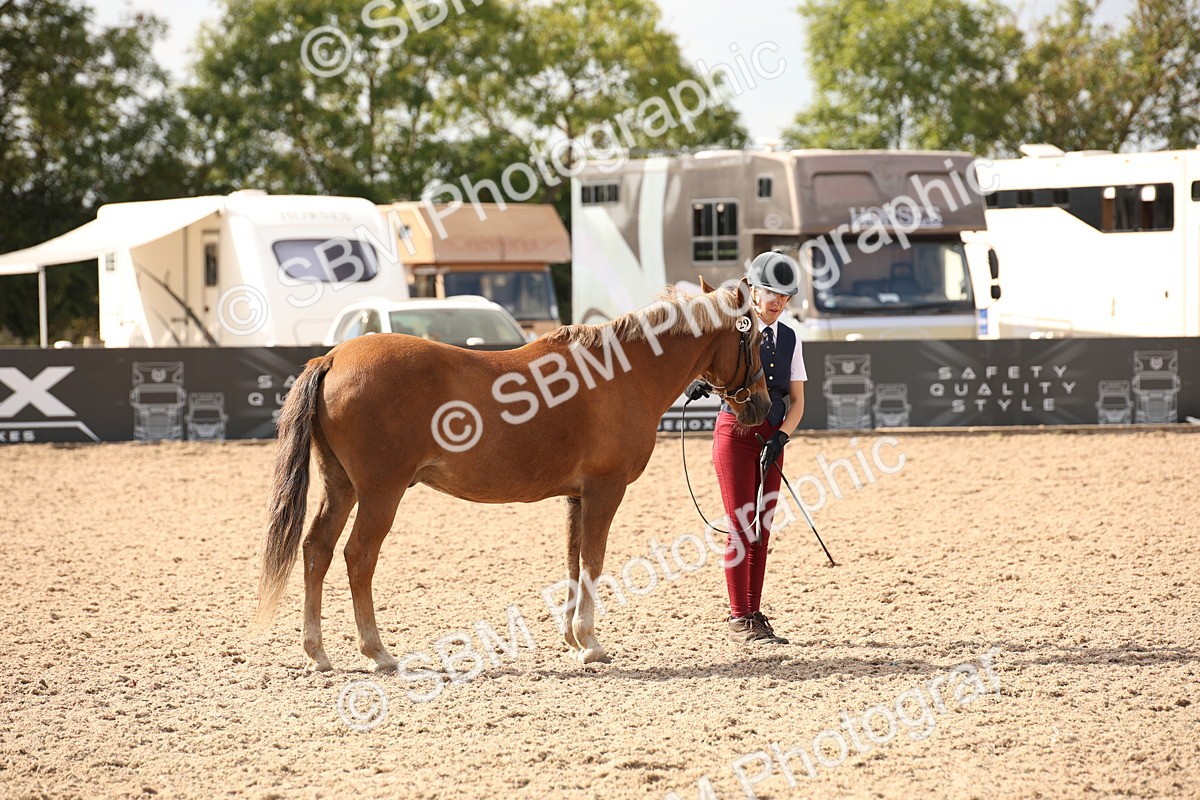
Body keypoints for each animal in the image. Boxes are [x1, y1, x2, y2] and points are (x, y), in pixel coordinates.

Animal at [255, 278, 770, 670]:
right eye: (753, 338)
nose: (763, 406)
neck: (623, 374)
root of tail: (333, 358)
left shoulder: (577, 497)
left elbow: (573, 560)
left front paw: (572, 638)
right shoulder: (605, 491)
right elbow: (593, 561)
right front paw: (591, 643)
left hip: (341, 487)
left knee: (316, 549)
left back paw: (317, 652)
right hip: (381, 492)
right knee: (358, 557)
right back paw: (377, 652)